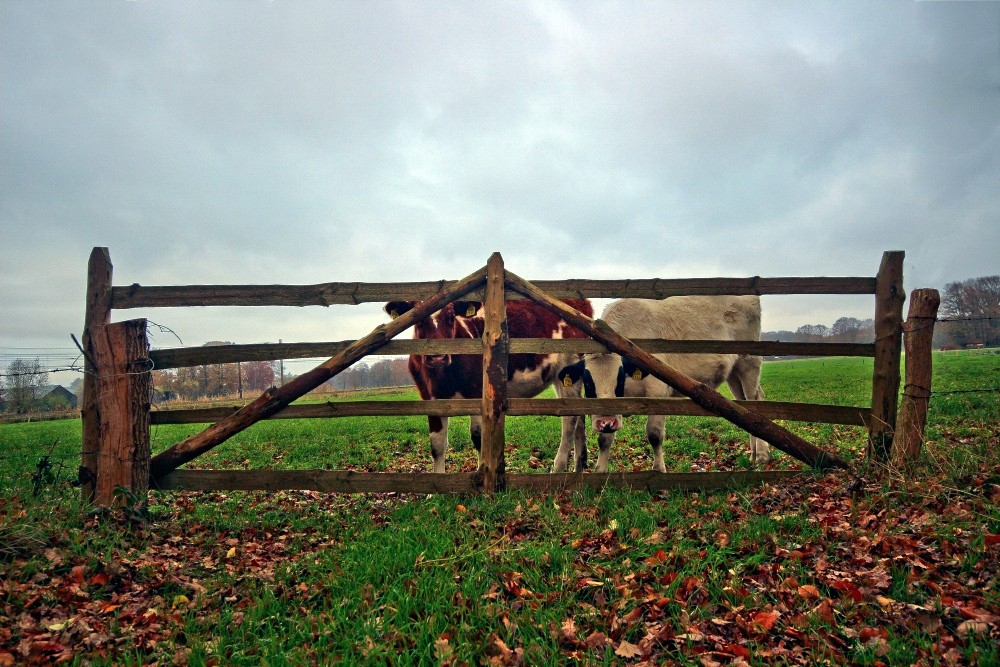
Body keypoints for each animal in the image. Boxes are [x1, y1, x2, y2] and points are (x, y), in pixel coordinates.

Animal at [386, 298, 592, 474]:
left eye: (451, 317)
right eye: (418, 320)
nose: (437, 357)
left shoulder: (476, 392)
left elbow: (478, 438)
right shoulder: (430, 398)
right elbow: (437, 445)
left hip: (568, 369)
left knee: (570, 420)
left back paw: (558, 468)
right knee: (579, 416)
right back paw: (578, 468)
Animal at [552, 294, 768, 472]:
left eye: (620, 377)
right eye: (588, 381)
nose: (606, 422)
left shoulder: (658, 391)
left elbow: (655, 434)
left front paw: (658, 469)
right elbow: (604, 438)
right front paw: (601, 471)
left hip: (749, 362)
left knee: (755, 400)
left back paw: (762, 455)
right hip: (734, 373)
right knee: (745, 405)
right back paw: (753, 455)